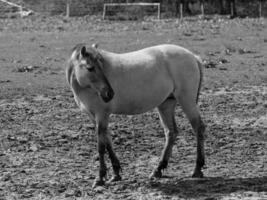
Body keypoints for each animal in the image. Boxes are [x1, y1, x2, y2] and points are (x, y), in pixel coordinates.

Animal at [66, 43, 206, 188]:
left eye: (101, 66)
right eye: (90, 68)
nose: (109, 93)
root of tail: (192, 57)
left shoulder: (101, 115)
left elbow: (101, 146)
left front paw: (100, 178)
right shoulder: (94, 117)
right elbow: (108, 142)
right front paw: (116, 173)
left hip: (187, 101)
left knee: (198, 128)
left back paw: (197, 169)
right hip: (166, 104)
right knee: (171, 132)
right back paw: (158, 169)